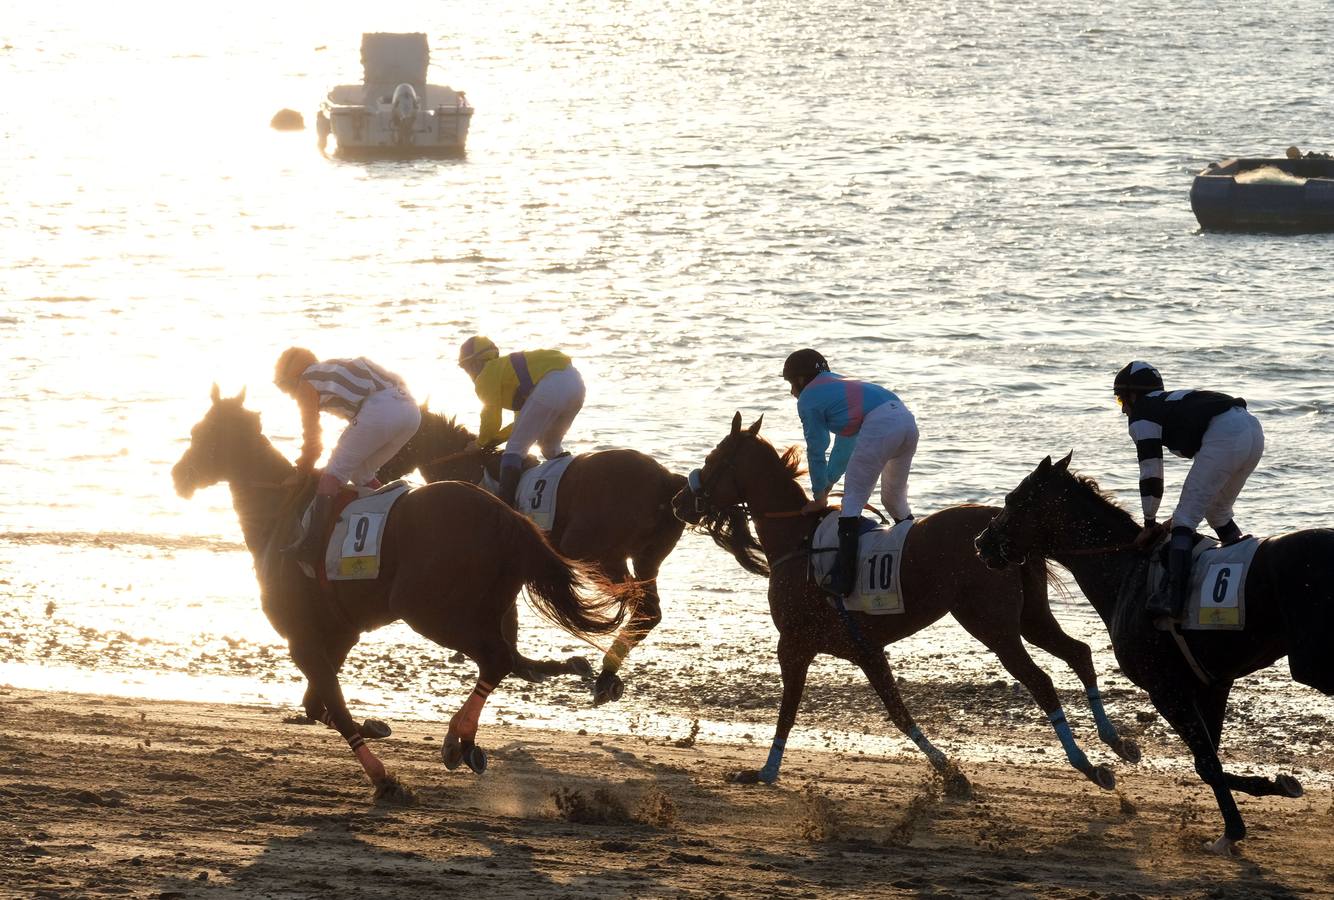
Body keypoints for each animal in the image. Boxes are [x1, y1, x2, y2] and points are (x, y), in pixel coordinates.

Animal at [170, 386, 629, 794]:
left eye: (201, 433)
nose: (178, 476)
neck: (280, 516)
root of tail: (506, 515)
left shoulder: (302, 638)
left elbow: (332, 707)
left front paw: (383, 777)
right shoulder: (338, 635)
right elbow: (316, 705)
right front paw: (375, 727)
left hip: (430, 611)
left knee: (498, 658)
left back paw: (459, 737)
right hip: (486, 608)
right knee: (505, 659)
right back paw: (475, 731)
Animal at [378, 405, 683, 709]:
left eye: (394, 438)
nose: (379, 475)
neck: (467, 470)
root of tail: (667, 479)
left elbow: (507, 621)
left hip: (592, 551)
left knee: (640, 604)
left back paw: (604, 673)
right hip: (646, 560)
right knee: (648, 610)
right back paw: (607, 676)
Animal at [667, 410, 1136, 794]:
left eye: (712, 460)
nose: (678, 502)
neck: (796, 543)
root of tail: (996, 533)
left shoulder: (795, 645)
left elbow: (789, 710)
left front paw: (764, 771)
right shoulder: (865, 650)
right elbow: (897, 711)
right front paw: (952, 774)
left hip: (992, 625)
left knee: (1041, 681)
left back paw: (1088, 764)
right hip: (1030, 616)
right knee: (1079, 652)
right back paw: (1118, 743)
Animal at [976, 453, 1328, 853]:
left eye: (1012, 500)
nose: (981, 542)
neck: (1126, 571)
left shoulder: (1166, 689)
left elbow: (1206, 763)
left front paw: (1233, 829)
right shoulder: (1210, 685)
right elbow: (1207, 760)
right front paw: (1275, 787)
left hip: (1311, 662)